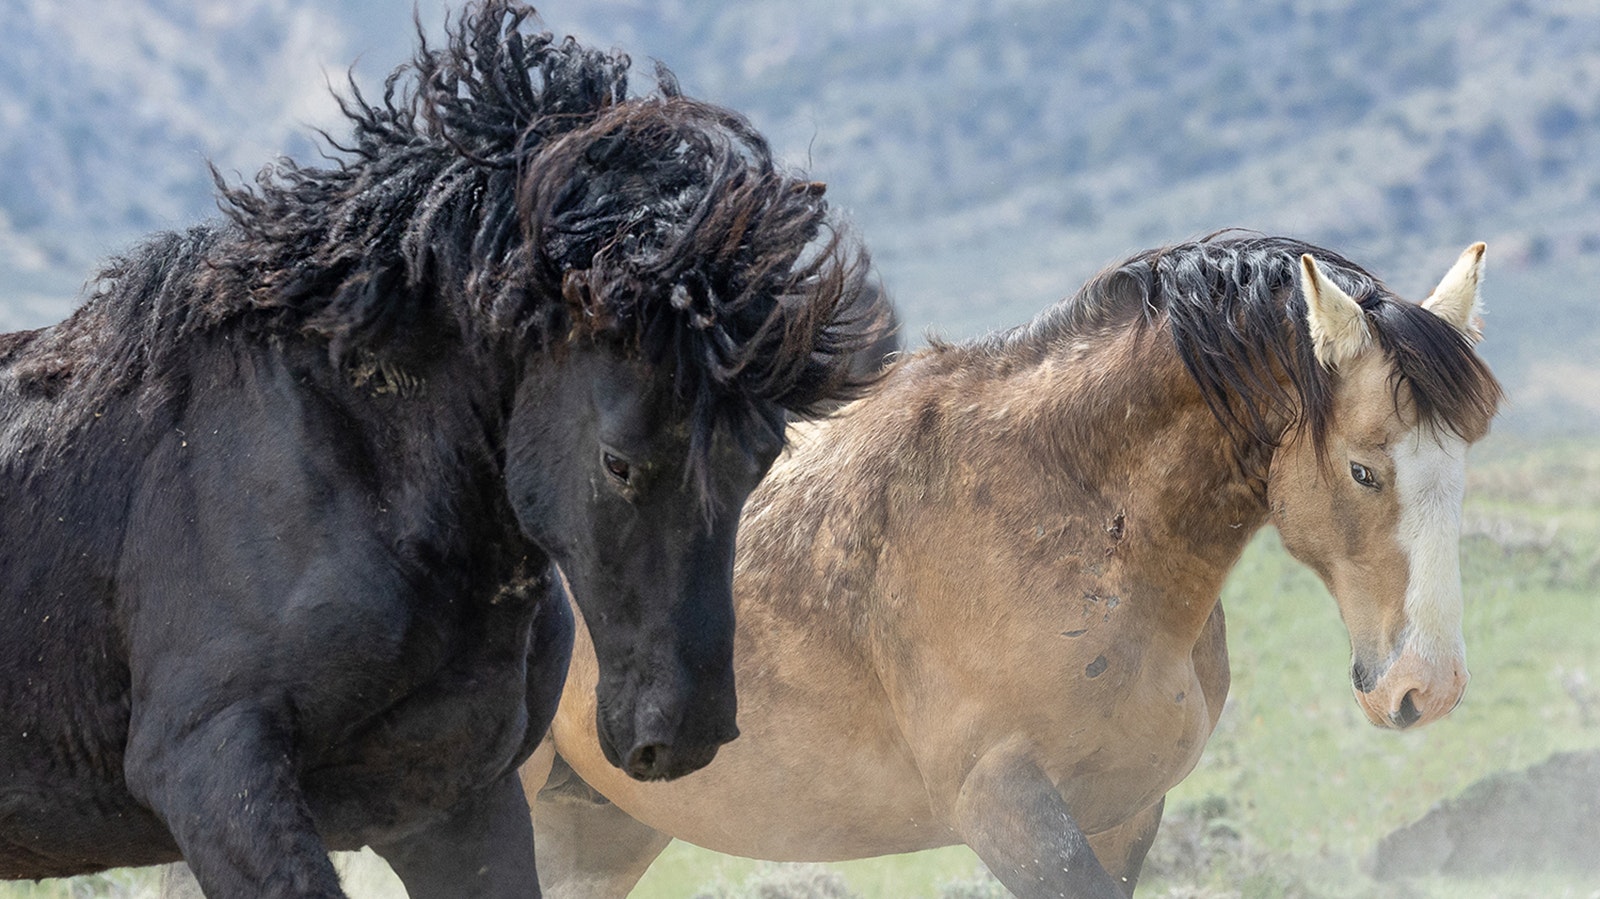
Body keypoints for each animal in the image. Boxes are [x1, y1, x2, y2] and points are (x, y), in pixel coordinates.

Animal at [0, 3, 889, 889]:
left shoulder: (457, 805)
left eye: (761, 460)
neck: (354, 466)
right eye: (618, 461)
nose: (683, 734)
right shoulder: (213, 773)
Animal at [534, 235, 1497, 889]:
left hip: (594, 820)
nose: (1429, 685)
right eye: (1364, 469)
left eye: (1462, 462)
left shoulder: (1125, 813)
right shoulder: (1007, 806)